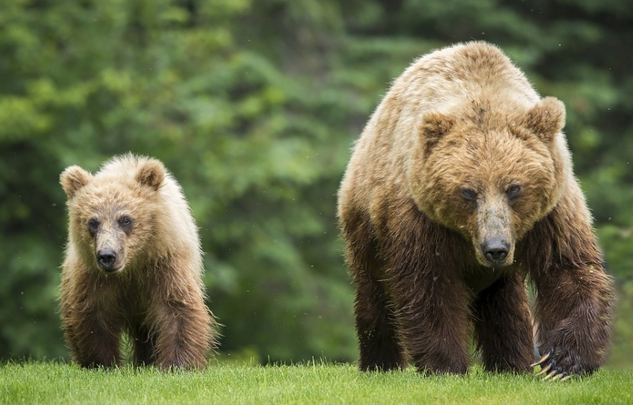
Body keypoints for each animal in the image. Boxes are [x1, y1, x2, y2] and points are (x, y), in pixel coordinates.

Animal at [59, 153, 217, 368]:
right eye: (93, 222)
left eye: (125, 219)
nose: (107, 256)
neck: (132, 265)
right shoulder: (92, 275)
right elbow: (94, 316)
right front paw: (102, 363)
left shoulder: (165, 264)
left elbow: (176, 307)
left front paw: (178, 364)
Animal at [338, 41, 616, 378]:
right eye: (468, 192)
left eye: (514, 188)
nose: (495, 248)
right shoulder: (420, 219)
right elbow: (430, 287)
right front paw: (446, 365)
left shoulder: (550, 212)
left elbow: (568, 267)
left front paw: (562, 362)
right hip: (366, 223)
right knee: (375, 294)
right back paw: (381, 362)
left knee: (506, 304)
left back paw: (512, 362)